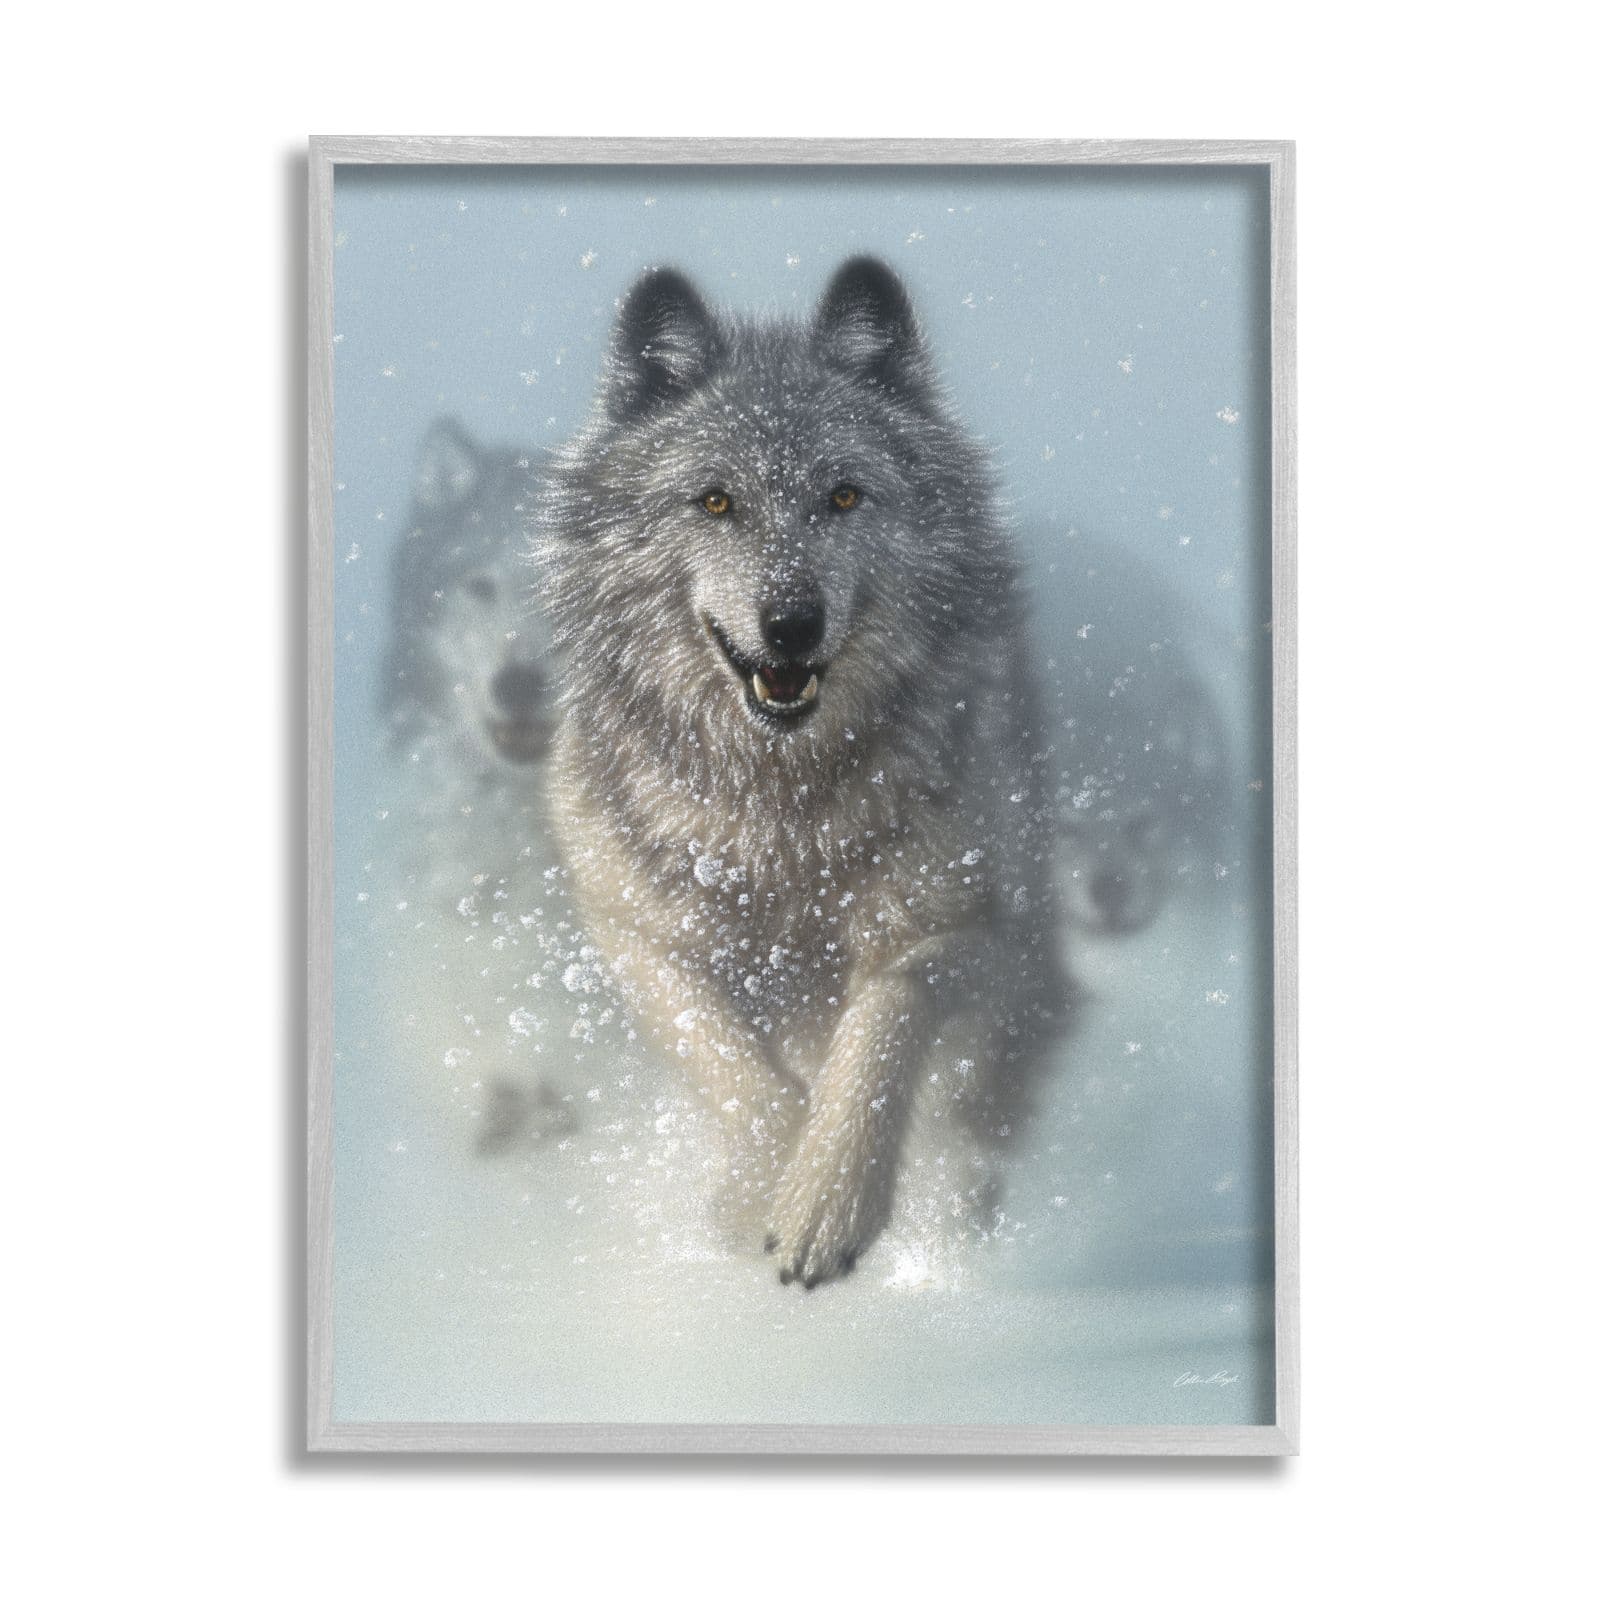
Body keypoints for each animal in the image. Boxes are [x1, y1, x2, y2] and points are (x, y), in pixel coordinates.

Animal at [537, 258, 1065, 1287]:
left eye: (845, 497)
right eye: (715, 502)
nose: (790, 624)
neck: (779, 817)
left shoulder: (971, 926)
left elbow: (883, 1023)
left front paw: (826, 1202)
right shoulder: (633, 932)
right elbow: (732, 1065)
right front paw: (761, 1190)